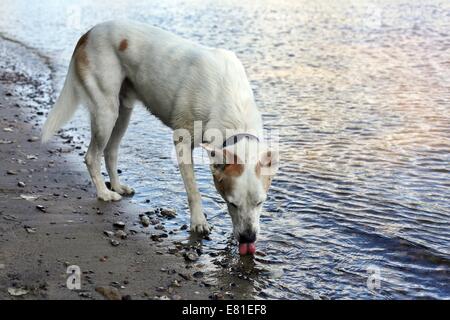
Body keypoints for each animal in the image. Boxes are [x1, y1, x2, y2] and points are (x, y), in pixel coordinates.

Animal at [42, 20, 276, 255]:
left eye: (260, 203)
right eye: (233, 203)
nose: (248, 238)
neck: (232, 105)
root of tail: (89, 32)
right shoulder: (182, 141)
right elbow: (193, 190)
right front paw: (198, 222)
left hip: (123, 112)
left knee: (110, 151)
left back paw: (117, 186)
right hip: (105, 111)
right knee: (92, 156)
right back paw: (104, 193)